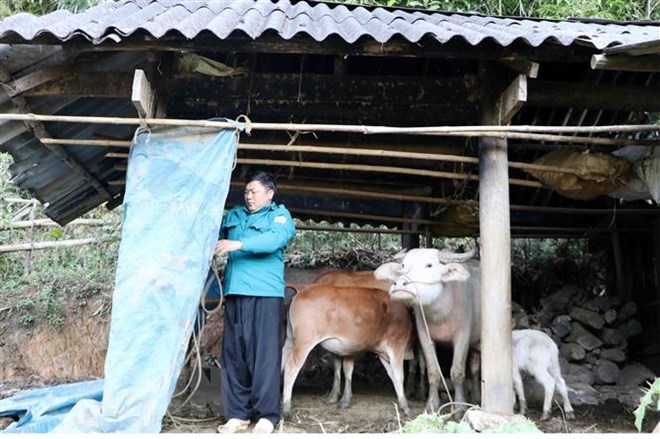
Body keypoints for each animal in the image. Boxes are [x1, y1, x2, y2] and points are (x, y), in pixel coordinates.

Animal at [282, 286, 416, 420]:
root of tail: (301, 292)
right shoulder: (397, 345)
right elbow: (399, 376)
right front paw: (406, 407)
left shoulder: (382, 353)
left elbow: (392, 376)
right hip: (304, 342)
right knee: (291, 368)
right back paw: (286, 409)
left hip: (290, 340)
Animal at [376, 248, 480, 412]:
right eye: (403, 265)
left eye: (429, 265)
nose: (400, 284)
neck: (441, 313)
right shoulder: (424, 336)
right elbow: (432, 372)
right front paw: (431, 405)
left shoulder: (463, 336)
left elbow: (457, 372)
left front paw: (459, 407)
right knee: (475, 368)